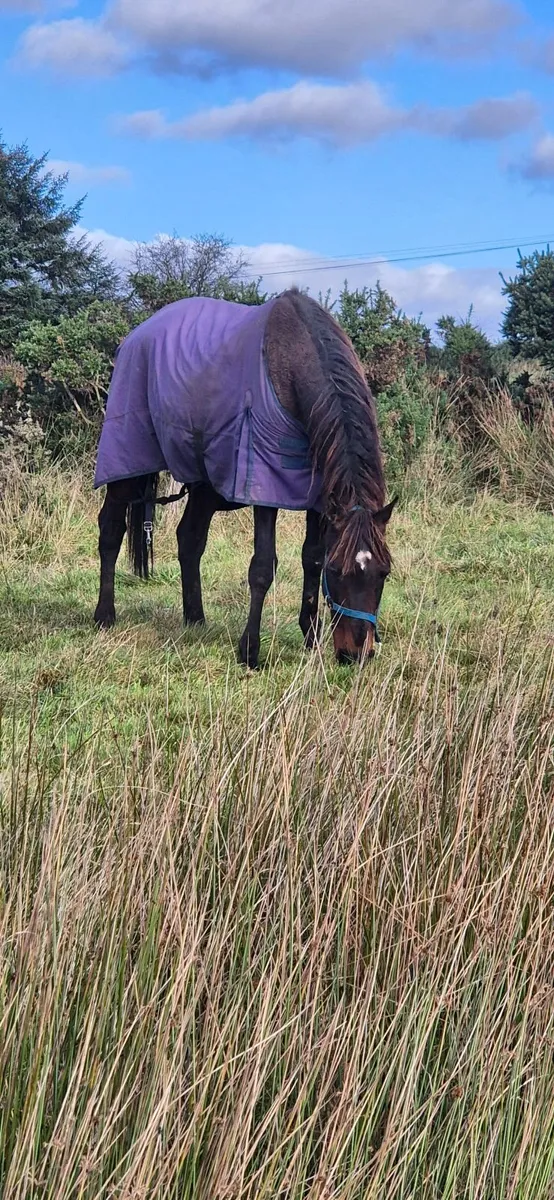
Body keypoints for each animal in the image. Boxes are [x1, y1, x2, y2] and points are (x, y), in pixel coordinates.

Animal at [93, 288, 397, 667]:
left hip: (205, 484)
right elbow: (264, 566)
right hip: (128, 463)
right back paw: (104, 615)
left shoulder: (319, 497)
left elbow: (310, 558)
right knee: (110, 530)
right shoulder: (266, 487)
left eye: (383, 573)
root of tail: (135, 337)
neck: (292, 365)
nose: (356, 655)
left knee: (189, 538)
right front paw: (250, 650)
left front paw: (310, 638)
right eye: (338, 571)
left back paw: (195, 618)